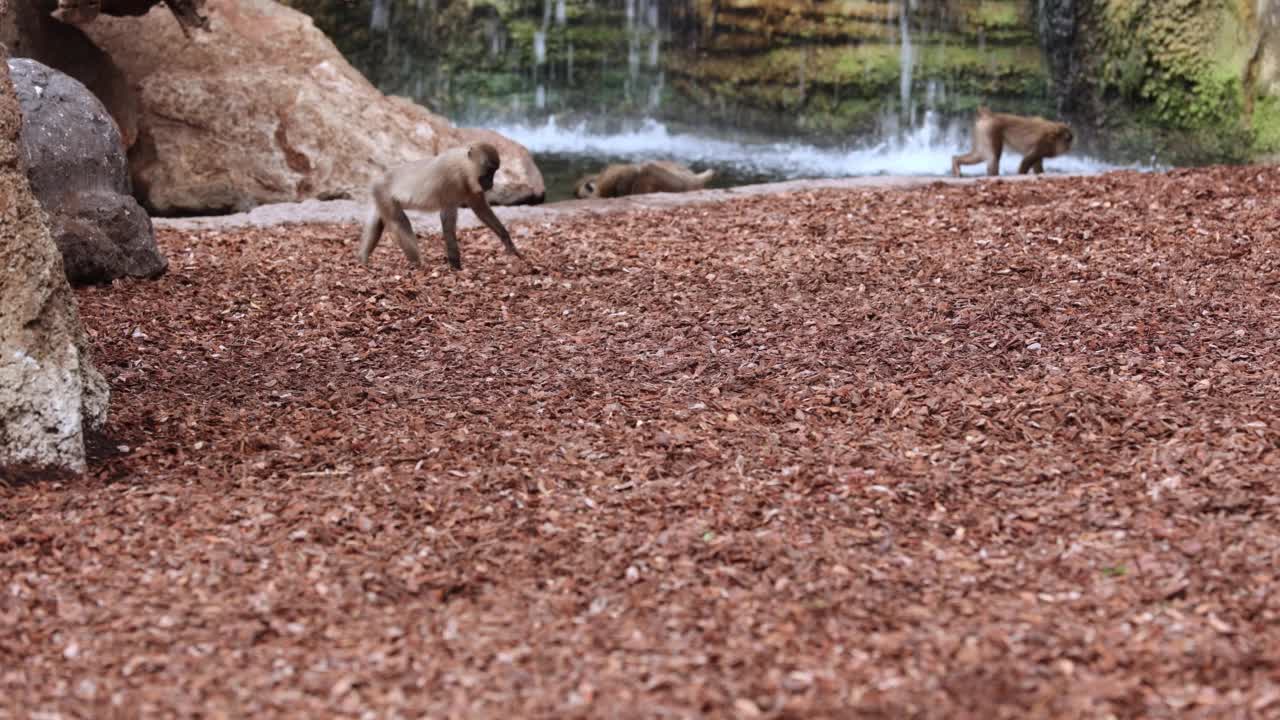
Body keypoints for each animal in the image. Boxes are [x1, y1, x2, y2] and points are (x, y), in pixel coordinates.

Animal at [355, 141, 524, 270]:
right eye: (489, 171)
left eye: (494, 171)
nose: (491, 183)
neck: (463, 167)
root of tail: (379, 179)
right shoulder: (451, 179)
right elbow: (447, 218)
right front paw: (455, 265)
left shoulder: (470, 186)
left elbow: (480, 208)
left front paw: (506, 240)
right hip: (382, 192)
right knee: (398, 222)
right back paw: (418, 265)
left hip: (378, 195)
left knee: (378, 222)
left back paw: (363, 261)